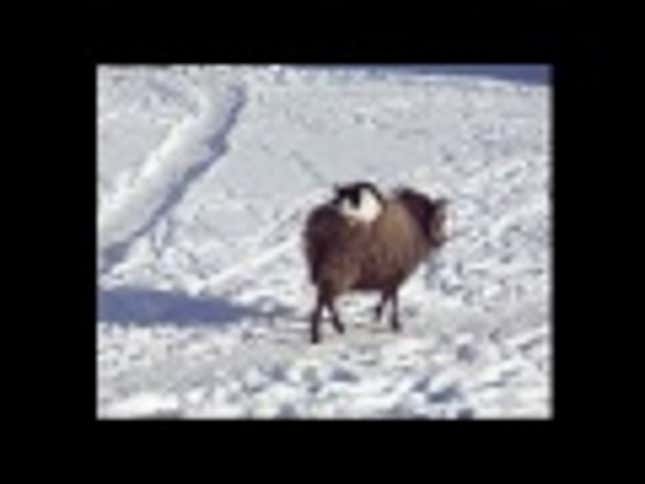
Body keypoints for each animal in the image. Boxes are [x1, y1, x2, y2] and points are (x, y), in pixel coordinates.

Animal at [303, 181, 448, 344]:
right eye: (441, 218)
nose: (443, 240)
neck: (415, 223)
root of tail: (318, 229)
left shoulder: (390, 276)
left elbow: (387, 296)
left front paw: (378, 316)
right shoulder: (396, 274)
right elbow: (392, 298)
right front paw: (393, 323)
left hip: (324, 269)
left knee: (324, 299)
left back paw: (330, 329)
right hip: (338, 270)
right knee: (326, 298)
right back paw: (325, 331)